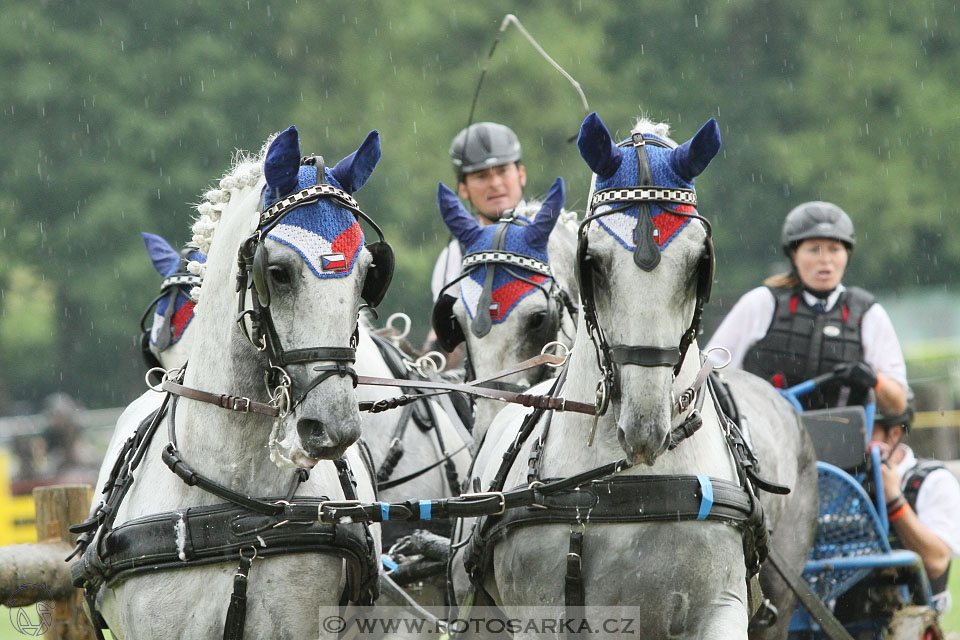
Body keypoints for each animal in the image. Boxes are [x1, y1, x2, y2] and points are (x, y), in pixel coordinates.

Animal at [454, 112, 812, 636]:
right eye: (592, 262)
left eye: (700, 263)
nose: (645, 426)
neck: (631, 479)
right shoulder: (542, 615)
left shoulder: (722, 607)